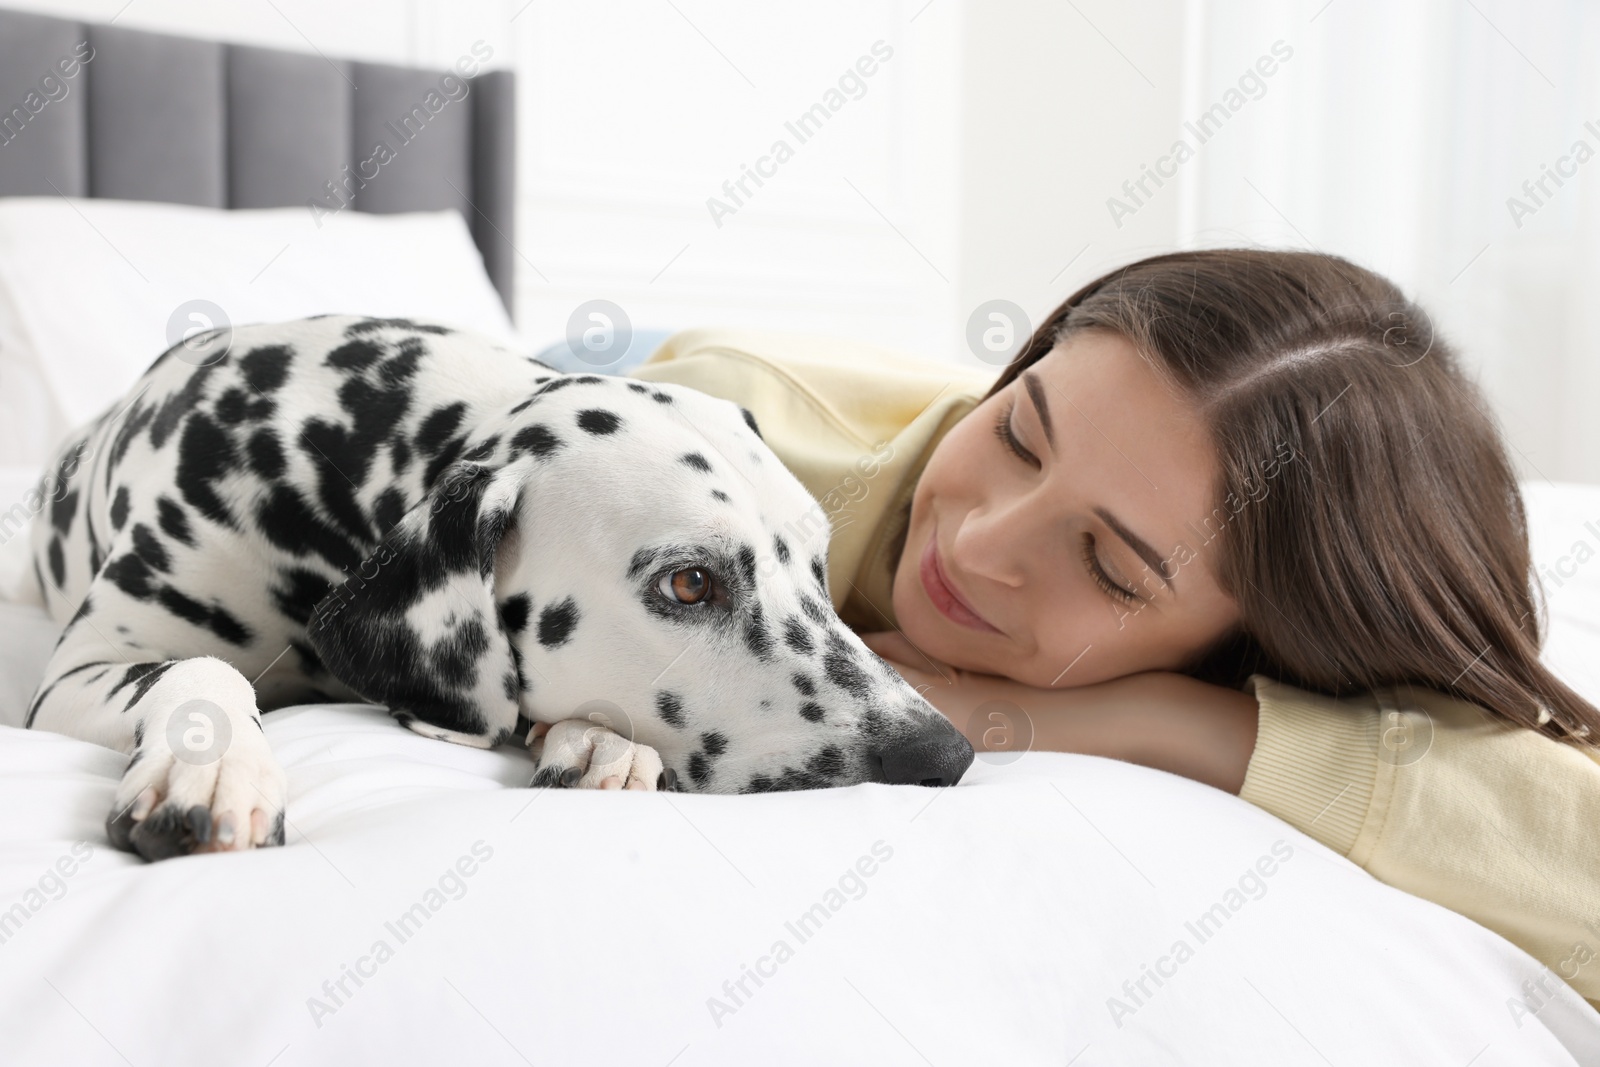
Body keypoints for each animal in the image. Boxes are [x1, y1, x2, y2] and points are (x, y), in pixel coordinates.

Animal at [25, 315, 972, 857]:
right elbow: (201, 671)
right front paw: (215, 769)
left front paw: (597, 743)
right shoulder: (76, 672)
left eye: (816, 566)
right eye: (691, 583)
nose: (946, 756)